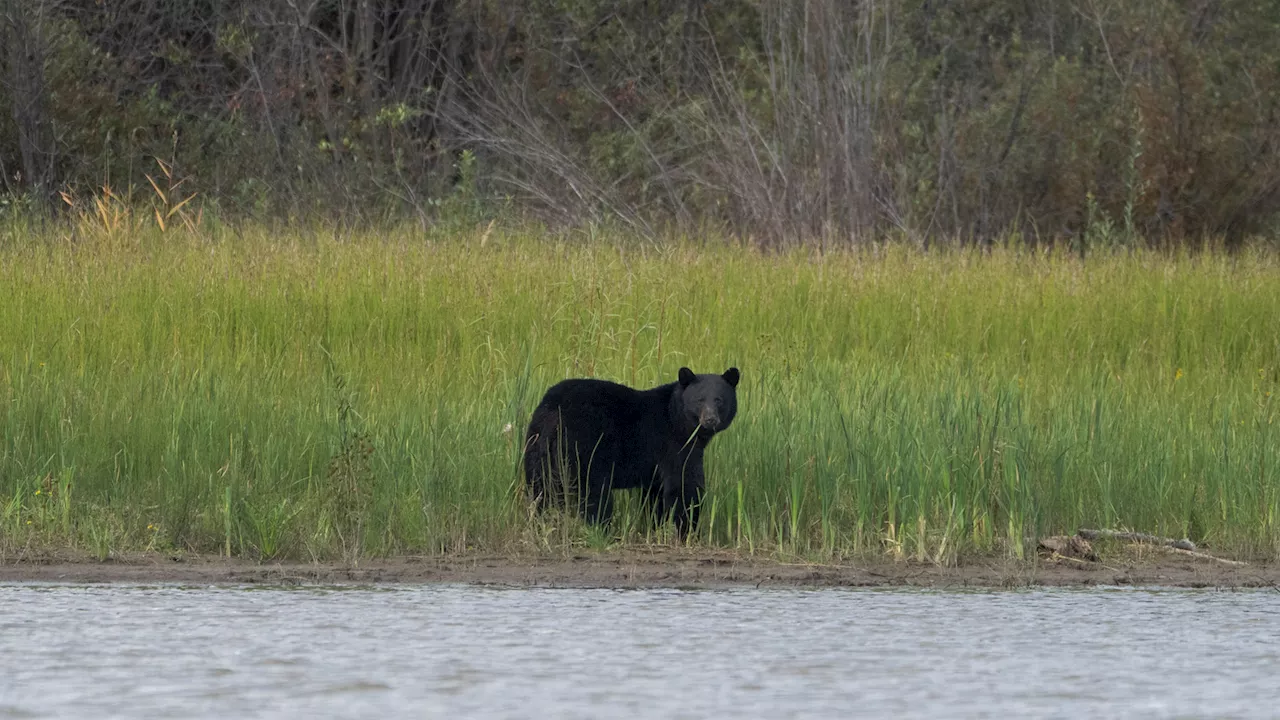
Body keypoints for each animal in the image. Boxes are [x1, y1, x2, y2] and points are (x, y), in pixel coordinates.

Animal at [519, 366, 742, 535]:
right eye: (700, 399)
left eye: (719, 399)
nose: (710, 419)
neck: (676, 418)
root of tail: (553, 409)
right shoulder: (673, 445)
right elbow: (684, 486)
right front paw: (688, 532)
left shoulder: (655, 467)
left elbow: (655, 495)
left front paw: (656, 528)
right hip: (583, 448)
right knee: (593, 493)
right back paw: (602, 530)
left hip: (537, 446)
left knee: (540, 489)